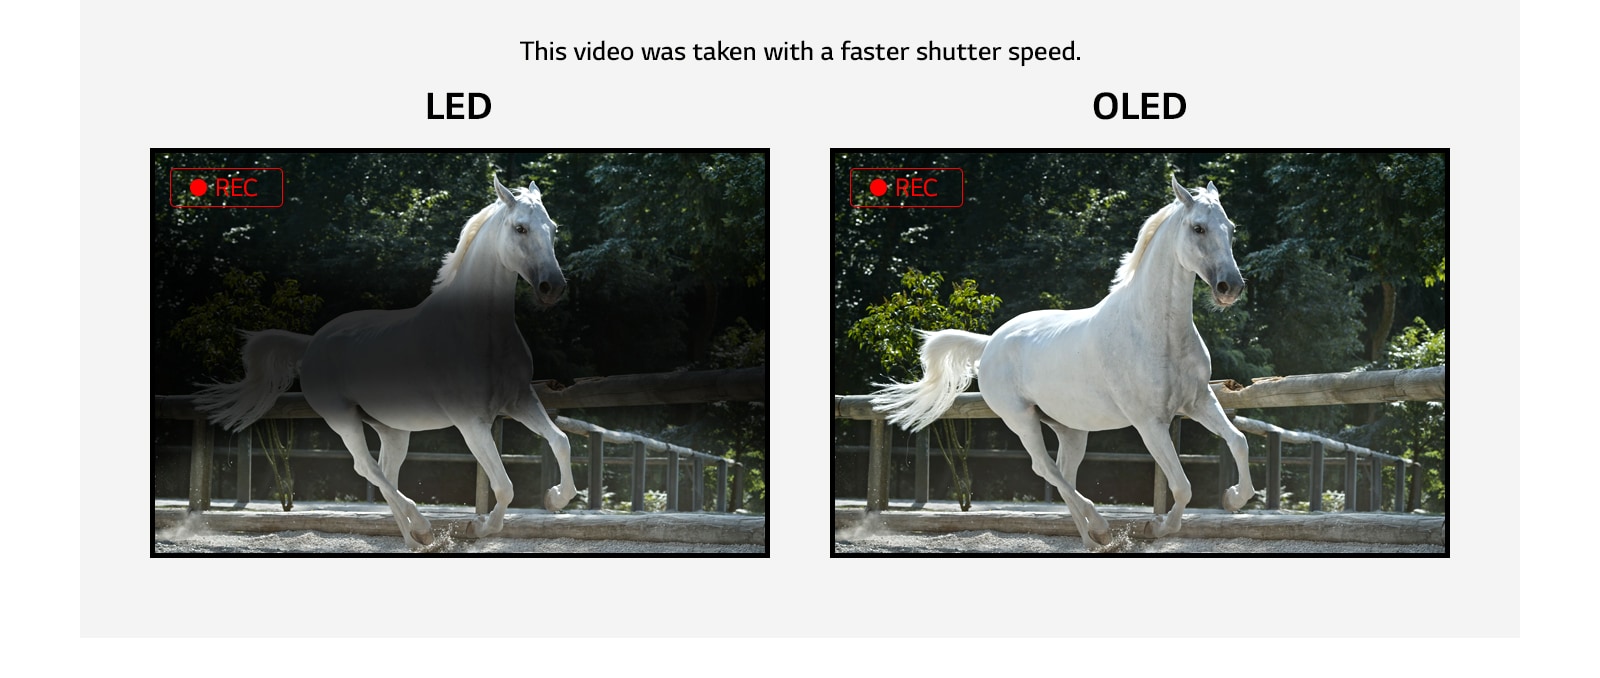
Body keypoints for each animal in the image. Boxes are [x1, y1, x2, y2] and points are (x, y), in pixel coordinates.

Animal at [194, 176, 576, 550]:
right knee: (366, 468)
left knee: (384, 472)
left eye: (554, 228)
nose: (553, 287)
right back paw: (423, 528)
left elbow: (560, 442)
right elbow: (504, 486)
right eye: (520, 228)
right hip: (343, 419)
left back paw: (415, 539)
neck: (477, 333)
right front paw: (478, 527)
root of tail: (311, 344)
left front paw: (555, 498)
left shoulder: (520, 400)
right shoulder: (471, 422)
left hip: (393, 429)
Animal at [870, 176, 1255, 550]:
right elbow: (1182, 486)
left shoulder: (1199, 401)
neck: (1155, 330)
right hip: (1021, 419)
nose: (1230, 287)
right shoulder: (1150, 423)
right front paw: (1156, 528)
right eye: (1198, 228)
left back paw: (1093, 538)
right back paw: (1100, 527)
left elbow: (1238, 442)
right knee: (1045, 468)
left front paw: (1234, 498)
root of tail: (990, 342)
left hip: (1070, 429)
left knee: (1061, 473)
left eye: (1232, 228)